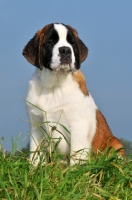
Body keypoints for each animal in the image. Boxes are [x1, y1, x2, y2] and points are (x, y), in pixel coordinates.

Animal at [22, 22, 125, 166]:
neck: (53, 86)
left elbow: (76, 154)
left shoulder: (78, 126)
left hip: (115, 144)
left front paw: (74, 169)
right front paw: (35, 169)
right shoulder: (36, 126)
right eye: (51, 42)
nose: (65, 50)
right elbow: (35, 154)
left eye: (72, 43)